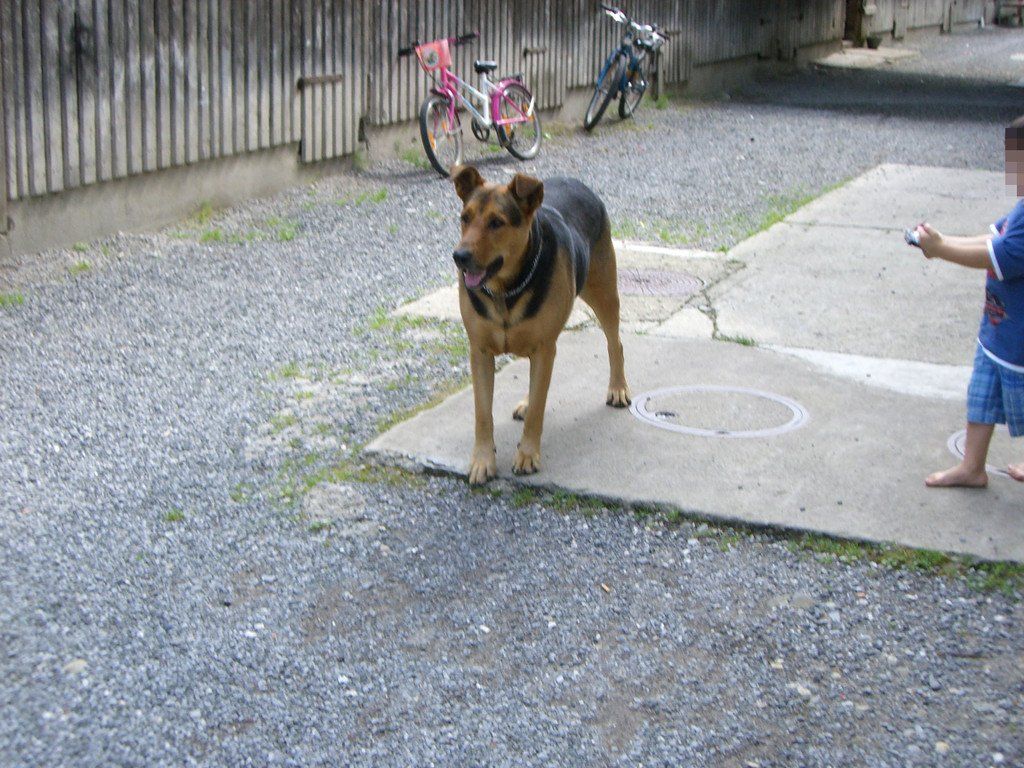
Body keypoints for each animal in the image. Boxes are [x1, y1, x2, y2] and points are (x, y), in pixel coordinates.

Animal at [449, 165, 631, 484]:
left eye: (496, 222)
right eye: (465, 217)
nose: (460, 257)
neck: (506, 290)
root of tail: (575, 182)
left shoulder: (545, 347)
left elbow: (538, 409)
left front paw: (527, 455)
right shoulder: (480, 351)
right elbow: (483, 413)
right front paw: (482, 460)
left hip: (603, 291)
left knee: (614, 342)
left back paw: (618, 388)